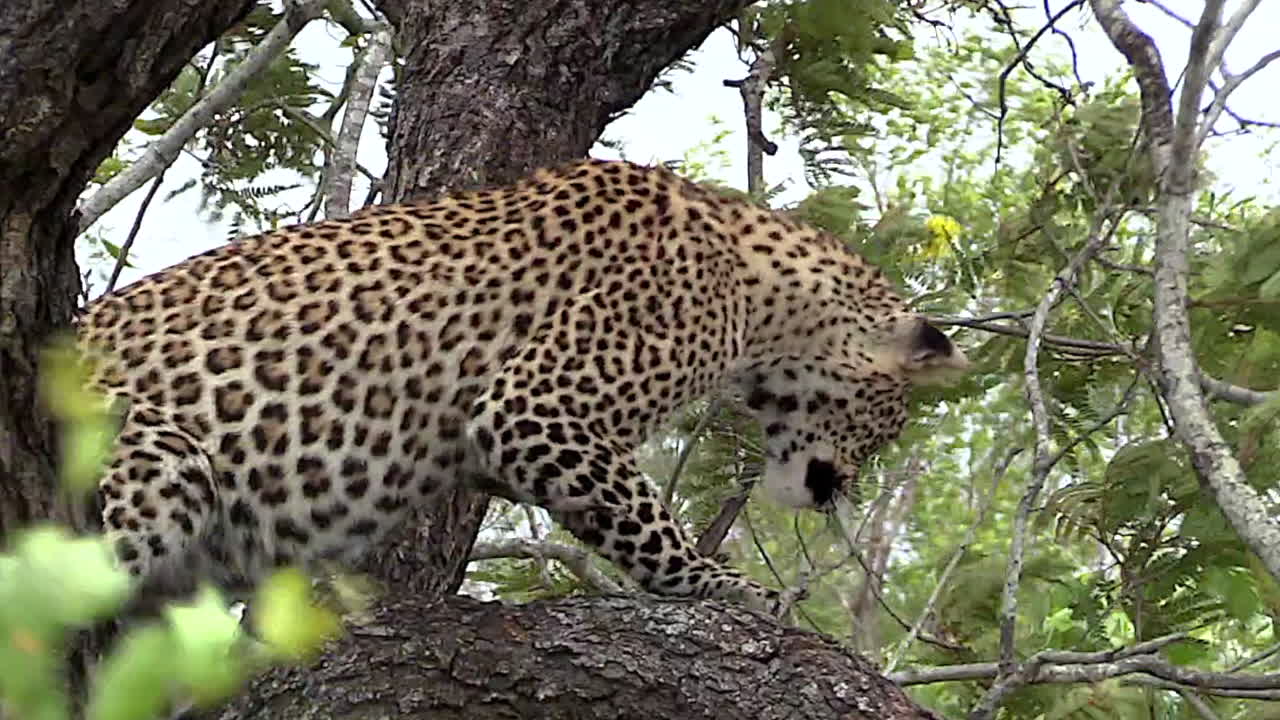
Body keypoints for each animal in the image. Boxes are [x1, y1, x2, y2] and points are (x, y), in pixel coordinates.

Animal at [74, 158, 968, 615]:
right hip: (159, 461)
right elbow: (646, 521)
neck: (761, 292)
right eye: (887, 423)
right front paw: (727, 586)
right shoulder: (540, 405)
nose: (837, 491)